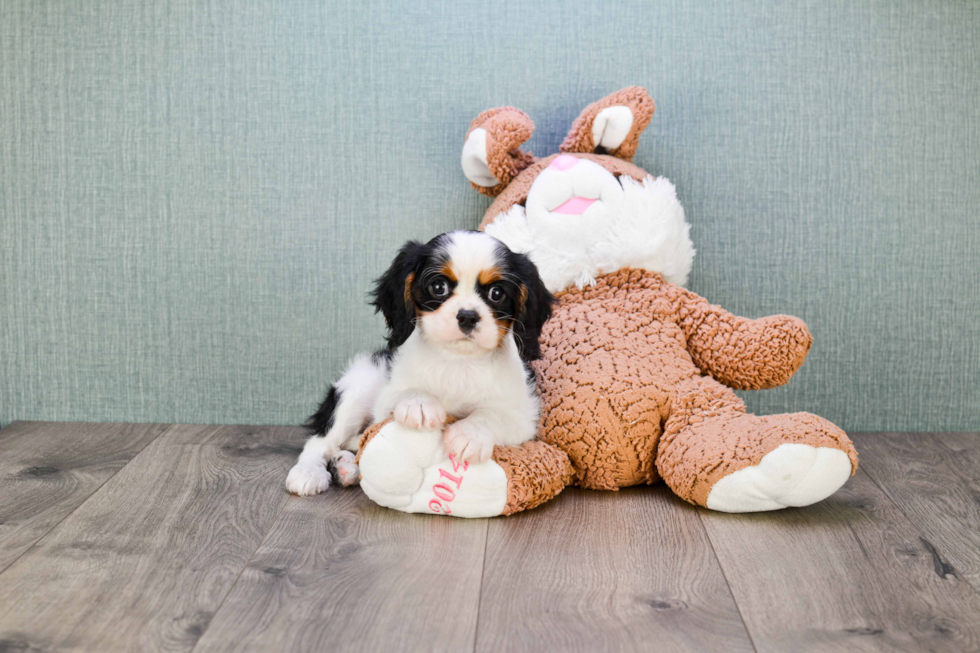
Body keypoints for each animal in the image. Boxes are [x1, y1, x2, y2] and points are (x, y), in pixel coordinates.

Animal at [288, 229, 556, 494]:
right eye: (438, 287)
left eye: (496, 293)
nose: (467, 316)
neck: (458, 361)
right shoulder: (384, 404)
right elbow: (405, 394)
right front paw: (419, 404)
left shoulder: (524, 417)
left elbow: (492, 414)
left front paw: (469, 433)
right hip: (359, 385)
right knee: (322, 441)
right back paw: (309, 472)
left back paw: (347, 467)